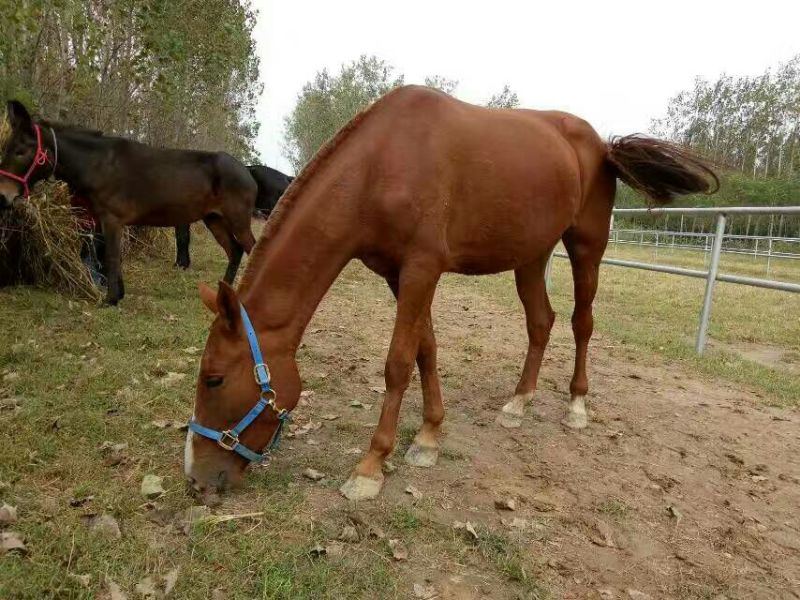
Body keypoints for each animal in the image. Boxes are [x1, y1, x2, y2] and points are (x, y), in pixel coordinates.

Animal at [0, 100, 257, 305]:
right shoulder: (103, 220)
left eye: (21, 151)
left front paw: (111, 299)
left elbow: (111, 256)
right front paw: (118, 294)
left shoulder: (112, 219)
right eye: (7, 149)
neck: (97, 164)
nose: (3, 195)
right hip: (215, 219)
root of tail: (247, 172)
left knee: (251, 247)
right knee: (235, 251)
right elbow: (110, 256)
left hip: (237, 218)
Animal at [183, 85, 718, 502]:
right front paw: (428, 436)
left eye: (213, 379)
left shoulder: (422, 269)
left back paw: (577, 407)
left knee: (581, 322)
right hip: (531, 257)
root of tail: (600, 144)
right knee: (540, 322)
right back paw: (518, 403)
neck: (382, 164)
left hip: (586, 248)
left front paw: (370, 466)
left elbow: (398, 362)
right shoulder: (398, 274)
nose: (196, 478)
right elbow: (427, 350)